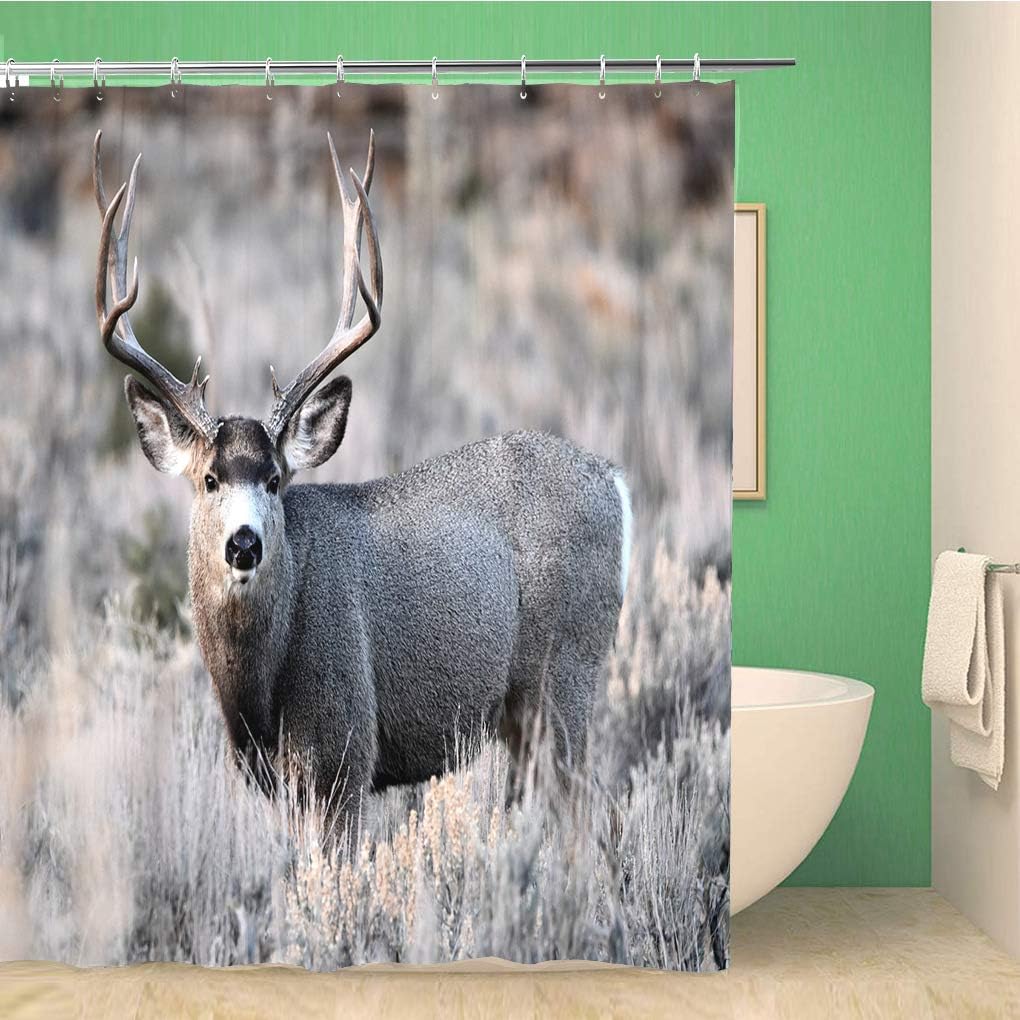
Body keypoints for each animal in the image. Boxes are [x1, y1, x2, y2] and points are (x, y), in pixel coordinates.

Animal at [92, 128, 632, 831]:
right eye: (210, 479)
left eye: (275, 479)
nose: (244, 544)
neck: (259, 689)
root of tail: (614, 480)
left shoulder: (344, 745)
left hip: (566, 670)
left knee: (593, 816)